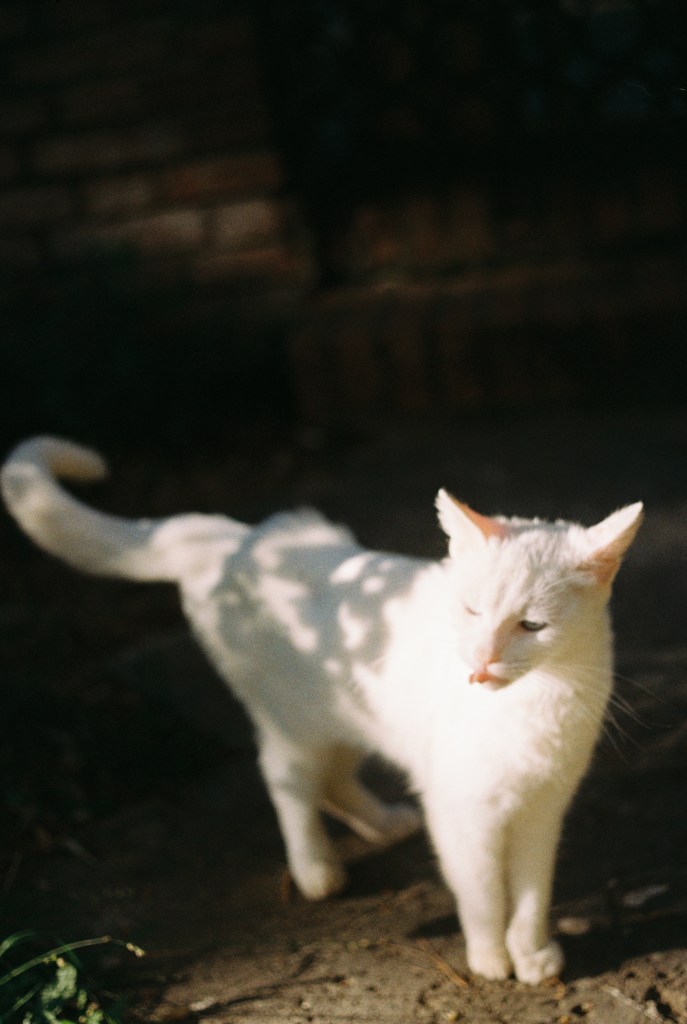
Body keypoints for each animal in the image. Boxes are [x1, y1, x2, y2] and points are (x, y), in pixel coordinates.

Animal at [1, 436, 643, 984]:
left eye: (531, 626)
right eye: (470, 611)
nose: (480, 664)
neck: (538, 705)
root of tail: (234, 539)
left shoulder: (543, 809)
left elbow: (532, 893)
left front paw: (532, 953)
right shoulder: (464, 813)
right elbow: (483, 892)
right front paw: (490, 958)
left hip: (354, 719)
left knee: (334, 781)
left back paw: (384, 823)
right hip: (295, 726)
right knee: (288, 782)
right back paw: (316, 869)